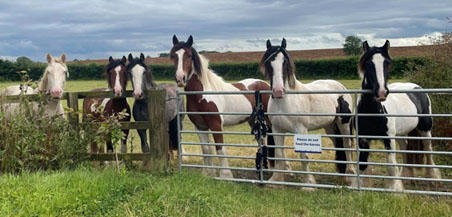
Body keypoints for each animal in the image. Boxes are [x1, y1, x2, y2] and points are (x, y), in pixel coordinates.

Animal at [170, 35, 274, 178]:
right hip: (254, 120)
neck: (203, 95)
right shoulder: (200, 127)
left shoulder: (216, 125)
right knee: (262, 140)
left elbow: (220, 148)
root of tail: (264, 84)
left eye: (189, 55)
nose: (180, 78)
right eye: (174, 56)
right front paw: (208, 172)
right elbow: (206, 149)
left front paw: (225, 174)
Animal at [260, 39, 358, 188]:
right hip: (330, 127)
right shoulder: (277, 129)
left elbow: (304, 156)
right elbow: (279, 154)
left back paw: (350, 176)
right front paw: (275, 180)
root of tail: (341, 87)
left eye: (285, 62)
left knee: (347, 145)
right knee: (338, 144)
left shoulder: (301, 130)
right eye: (269, 62)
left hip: (344, 123)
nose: (278, 91)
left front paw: (309, 184)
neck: (285, 101)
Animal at [354, 39, 440, 191]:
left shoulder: (388, 139)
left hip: (425, 129)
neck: (372, 111)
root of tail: (417, 87)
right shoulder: (363, 140)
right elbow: (362, 165)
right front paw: (361, 188)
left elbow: (391, 165)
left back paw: (433, 179)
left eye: (387, 62)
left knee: (428, 150)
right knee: (405, 148)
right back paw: (406, 176)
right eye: (368, 63)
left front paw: (395, 189)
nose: (381, 92)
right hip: (400, 134)